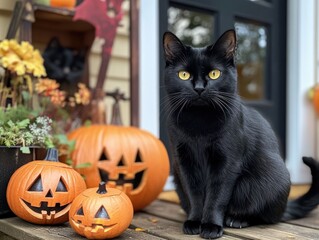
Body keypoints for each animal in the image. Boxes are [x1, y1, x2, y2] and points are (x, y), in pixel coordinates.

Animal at [164, 29, 319, 238]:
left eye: (214, 74)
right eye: (183, 74)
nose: (199, 88)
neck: (199, 124)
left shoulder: (227, 162)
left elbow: (217, 196)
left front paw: (211, 226)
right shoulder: (184, 161)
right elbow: (194, 194)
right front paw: (195, 221)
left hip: (266, 181)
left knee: (266, 216)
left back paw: (236, 220)